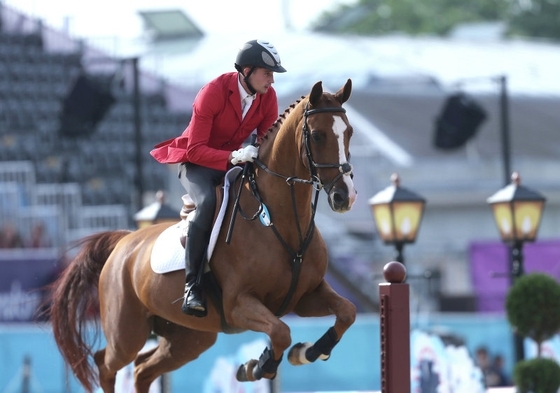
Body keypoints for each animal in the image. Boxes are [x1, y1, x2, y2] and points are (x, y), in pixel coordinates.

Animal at [50, 79, 358, 392]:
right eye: (318, 136)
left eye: (349, 133)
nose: (345, 196)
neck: (280, 221)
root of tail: (123, 242)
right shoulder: (238, 304)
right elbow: (281, 332)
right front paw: (257, 366)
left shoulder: (305, 296)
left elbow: (347, 312)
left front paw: (307, 352)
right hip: (127, 331)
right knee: (106, 364)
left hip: (188, 337)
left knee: (143, 369)